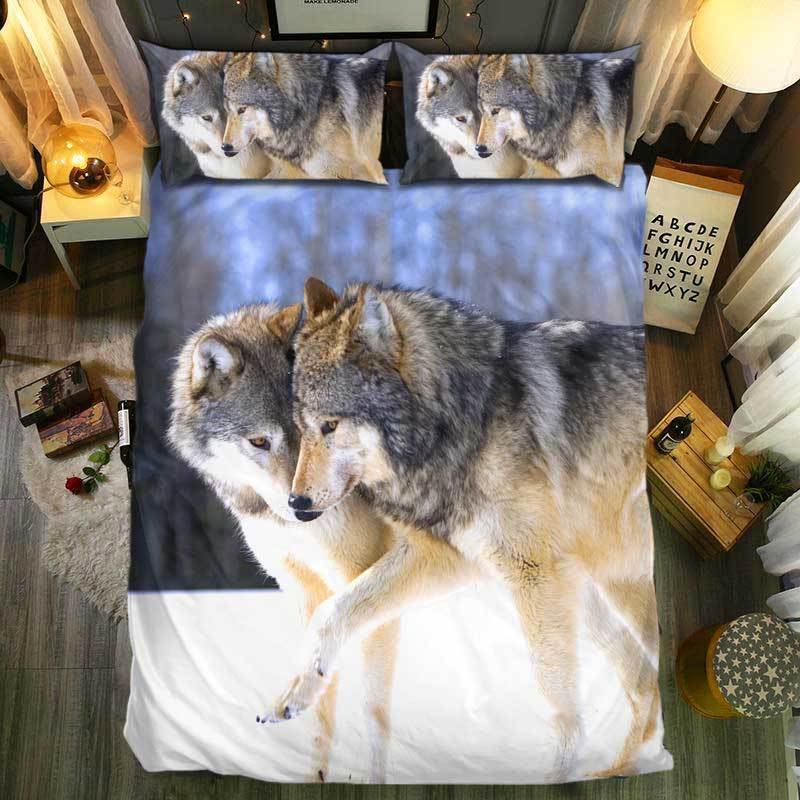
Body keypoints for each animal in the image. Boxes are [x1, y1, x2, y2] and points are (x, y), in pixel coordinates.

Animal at [168, 302, 403, 783]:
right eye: (260, 441)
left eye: (322, 428)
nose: (305, 508)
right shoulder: (303, 589)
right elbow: (320, 700)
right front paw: (314, 774)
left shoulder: (364, 585)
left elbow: (373, 713)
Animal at [273, 278, 663, 780]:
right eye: (302, 429)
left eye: (330, 425)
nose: (296, 504)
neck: (462, 420)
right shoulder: (450, 558)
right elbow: (332, 611)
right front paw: (297, 689)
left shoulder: (531, 573)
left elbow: (555, 697)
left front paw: (555, 776)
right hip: (597, 588)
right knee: (644, 678)